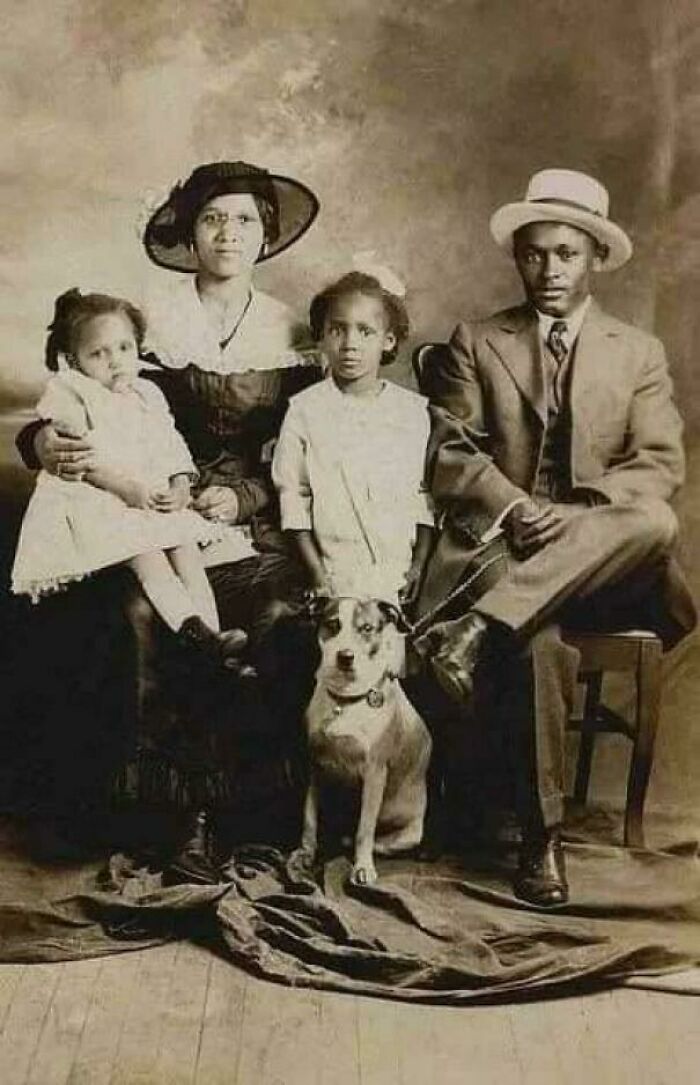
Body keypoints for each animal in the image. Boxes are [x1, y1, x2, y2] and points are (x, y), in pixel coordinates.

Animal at [295, 598, 431, 885]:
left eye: (367, 628)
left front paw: (362, 867)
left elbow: (365, 829)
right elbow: (309, 817)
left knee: (374, 840)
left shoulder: (374, 774)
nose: (345, 656)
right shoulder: (315, 767)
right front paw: (305, 853)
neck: (345, 700)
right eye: (332, 624)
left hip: (409, 834)